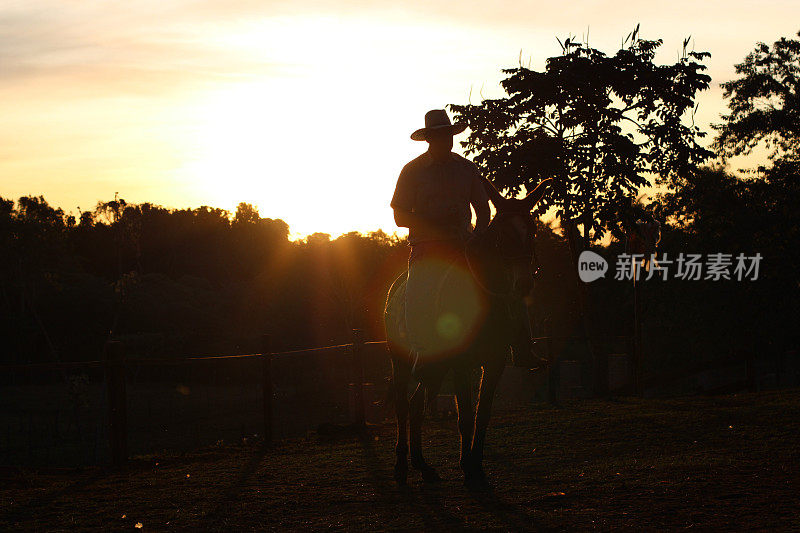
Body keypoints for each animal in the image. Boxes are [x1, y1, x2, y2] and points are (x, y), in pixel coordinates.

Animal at [384, 177, 552, 488]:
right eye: (502, 234)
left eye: (532, 230)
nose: (523, 283)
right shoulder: (462, 364)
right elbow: (464, 415)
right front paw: (467, 468)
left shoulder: (495, 362)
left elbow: (481, 414)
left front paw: (477, 465)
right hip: (399, 361)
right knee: (402, 406)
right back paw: (401, 466)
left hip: (434, 369)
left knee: (415, 406)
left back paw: (422, 465)